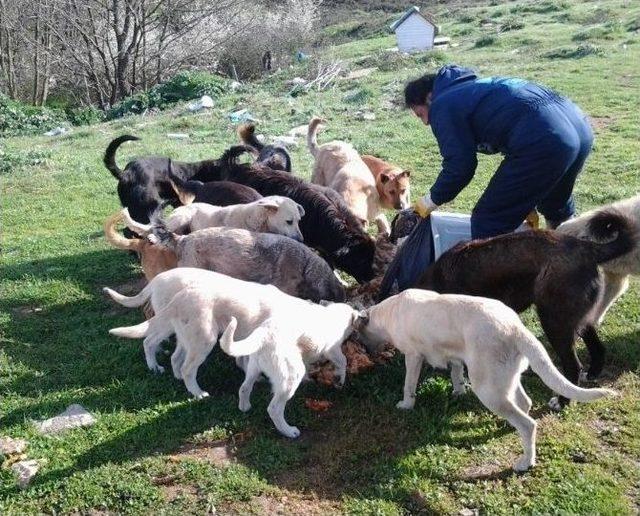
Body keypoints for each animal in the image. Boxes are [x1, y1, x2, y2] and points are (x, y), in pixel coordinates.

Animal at [125, 194, 308, 242]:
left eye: (299, 221)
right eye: (289, 221)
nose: (301, 240)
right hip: (182, 218)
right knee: (155, 230)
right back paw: (153, 237)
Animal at [356, 290, 616, 472]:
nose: (365, 351)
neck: (389, 311)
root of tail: (516, 327)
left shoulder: (413, 356)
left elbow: (408, 385)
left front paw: (406, 405)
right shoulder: (456, 358)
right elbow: (456, 374)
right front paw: (458, 392)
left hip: (487, 389)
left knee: (528, 424)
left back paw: (525, 463)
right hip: (504, 381)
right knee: (524, 405)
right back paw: (508, 428)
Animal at [416, 209, 636, 408]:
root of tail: (585, 247)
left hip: (554, 322)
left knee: (572, 365)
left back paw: (562, 401)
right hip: (577, 319)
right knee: (597, 347)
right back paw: (590, 375)